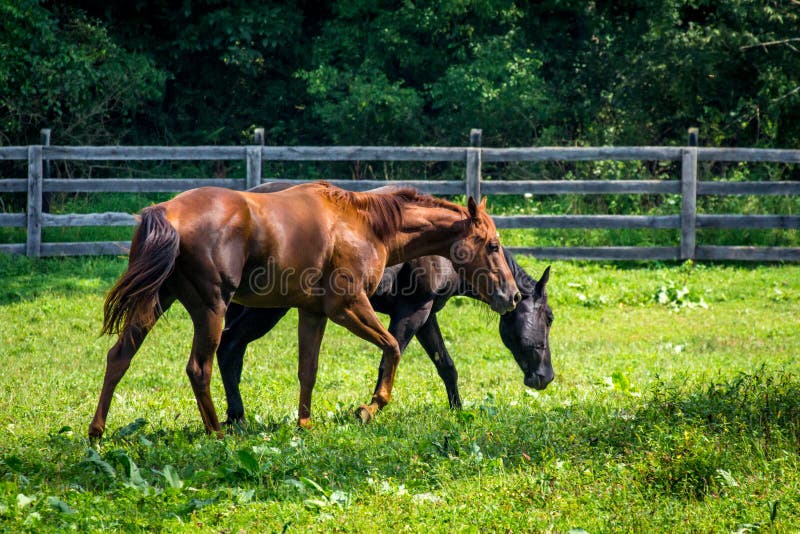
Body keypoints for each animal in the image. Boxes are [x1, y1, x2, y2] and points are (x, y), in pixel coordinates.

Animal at [90, 182, 520, 438]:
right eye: (493, 245)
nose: (512, 296)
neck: (367, 225)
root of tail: (167, 211)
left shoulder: (313, 313)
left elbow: (308, 370)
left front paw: (305, 423)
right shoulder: (349, 307)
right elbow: (392, 349)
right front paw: (369, 408)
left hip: (156, 302)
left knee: (120, 356)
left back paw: (97, 432)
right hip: (211, 309)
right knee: (200, 368)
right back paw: (216, 431)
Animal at [219, 184, 556, 428]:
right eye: (549, 318)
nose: (546, 377)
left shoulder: (426, 316)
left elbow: (446, 366)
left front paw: (458, 410)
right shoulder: (411, 313)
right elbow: (388, 358)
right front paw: (369, 409)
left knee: (230, 349)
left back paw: (235, 416)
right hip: (266, 310)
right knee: (230, 346)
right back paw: (235, 415)